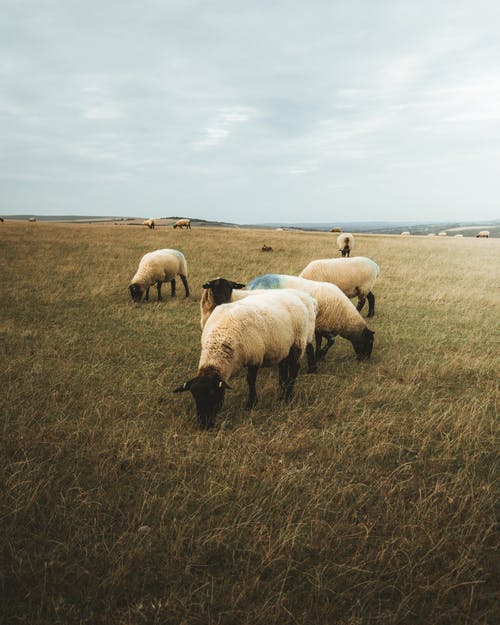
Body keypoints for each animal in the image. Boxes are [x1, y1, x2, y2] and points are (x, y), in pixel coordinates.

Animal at [176, 288, 316, 428]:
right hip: (283, 347)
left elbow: (250, 380)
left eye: (213, 394)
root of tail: (299, 296)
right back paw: (281, 393)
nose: (205, 425)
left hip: (298, 342)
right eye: (195, 396)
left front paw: (251, 403)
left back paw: (288, 395)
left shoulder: (255, 357)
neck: (221, 334)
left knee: (294, 368)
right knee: (283, 367)